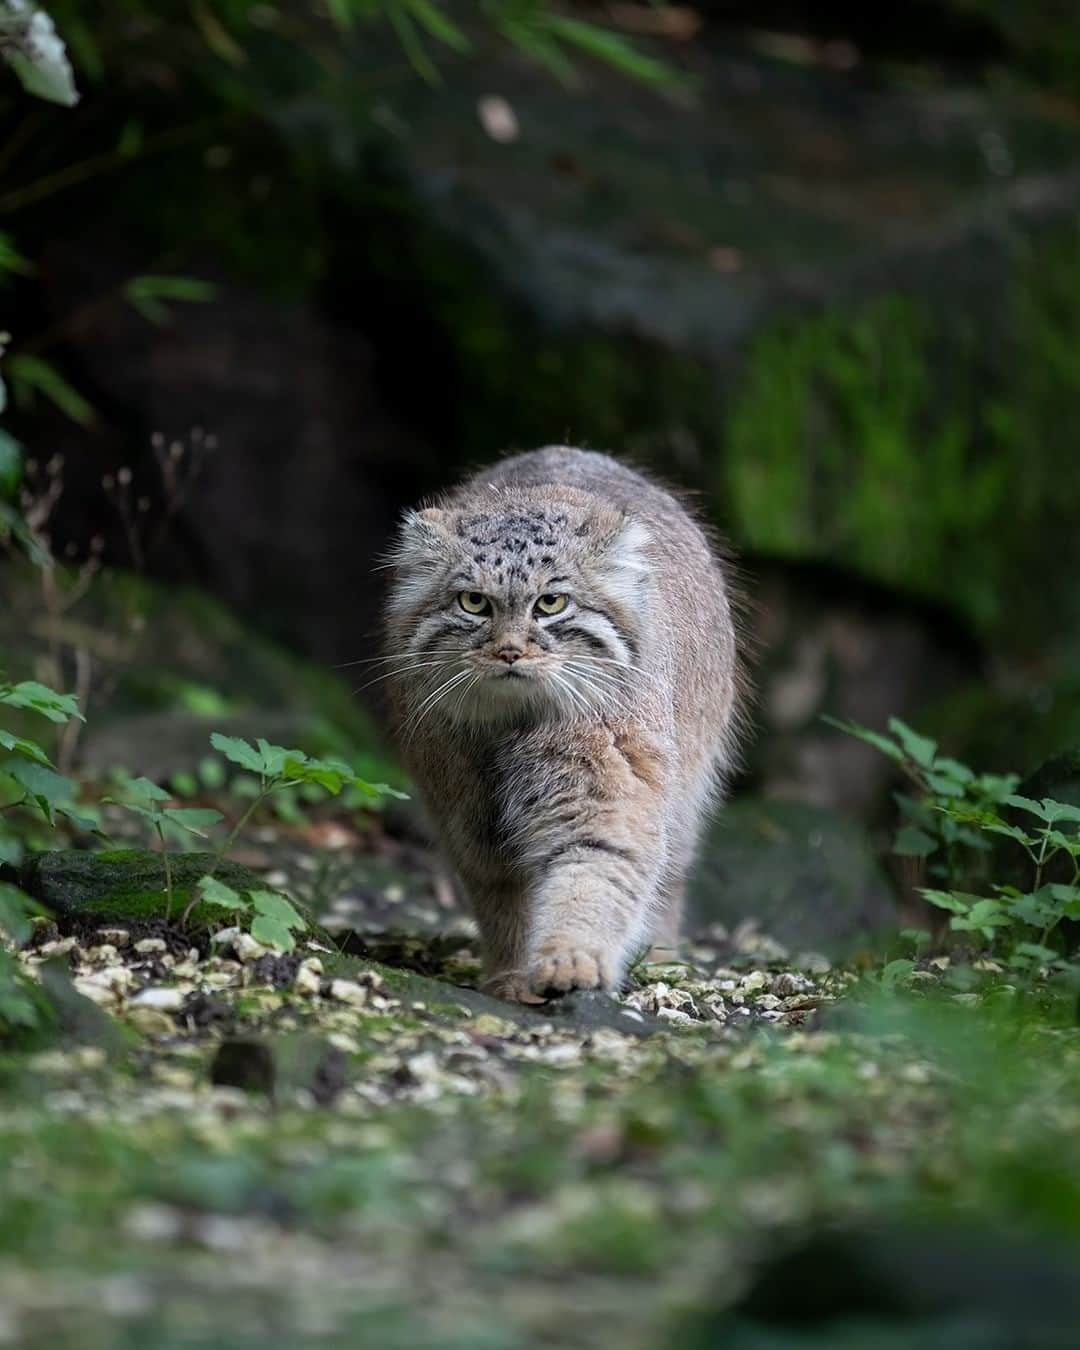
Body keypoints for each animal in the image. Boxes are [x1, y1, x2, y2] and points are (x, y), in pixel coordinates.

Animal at [380, 448, 745, 999]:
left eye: (551, 603)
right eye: (473, 602)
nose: (509, 651)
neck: (513, 727)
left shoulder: (610, 785)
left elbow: (595, 868)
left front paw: (571, 959)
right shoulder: (468, 819)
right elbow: (503, 900)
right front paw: (512, 975)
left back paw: (661, 957)